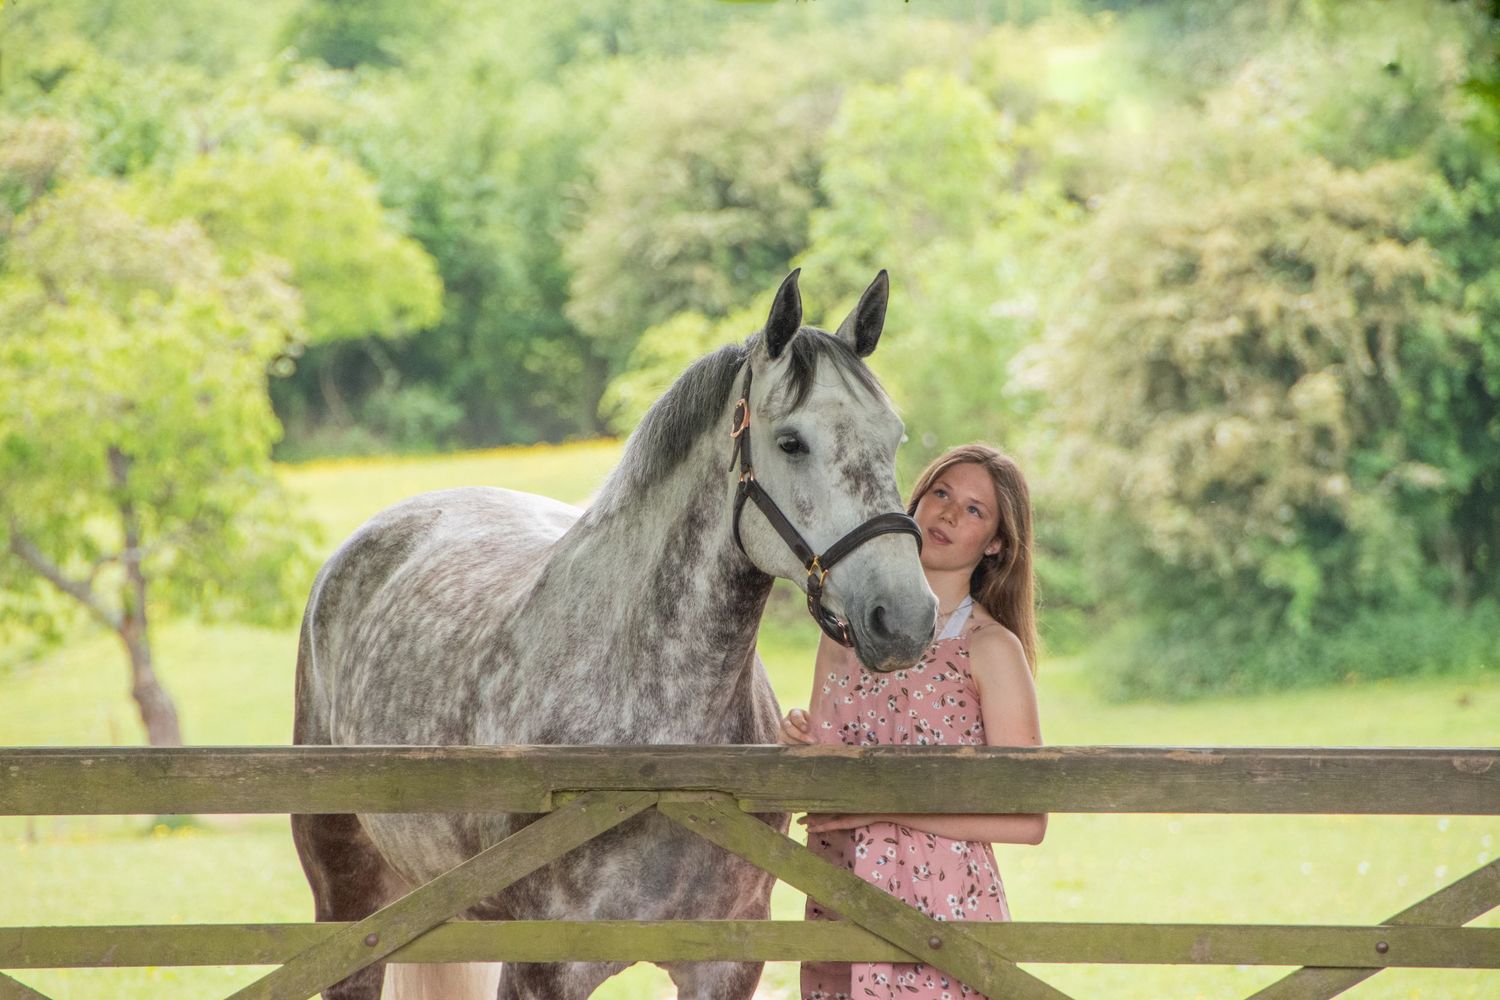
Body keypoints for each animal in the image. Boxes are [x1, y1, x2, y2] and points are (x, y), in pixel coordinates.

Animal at [291, 269, 937, 1000]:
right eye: (792, 441)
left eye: (894, 437)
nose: (905, 617)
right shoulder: (544, 969)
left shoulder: (726, 963)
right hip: (350, 899)